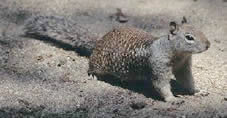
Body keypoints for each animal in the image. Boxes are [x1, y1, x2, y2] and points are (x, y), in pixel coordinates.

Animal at [22, 15, 209, 102]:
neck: (177, 54)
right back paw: (93, 75)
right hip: (99, 63)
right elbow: (161, 84)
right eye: (189, 37)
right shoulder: (158, 66)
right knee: (91, 66)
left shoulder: (184, 67)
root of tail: (99, 41)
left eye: (201, 30)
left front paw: (198, 91)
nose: (208, 45)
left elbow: (187, 81)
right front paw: (172, 99)